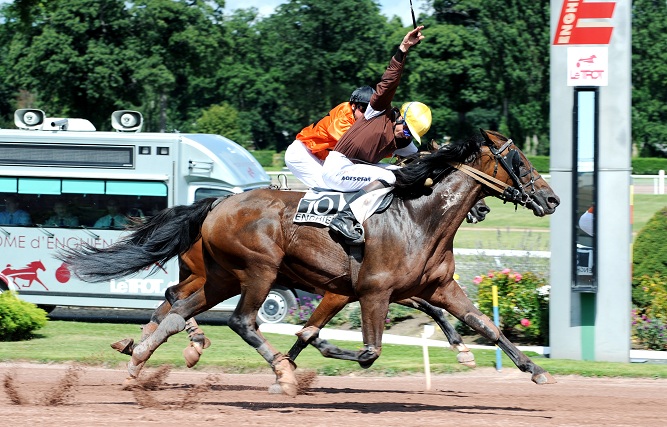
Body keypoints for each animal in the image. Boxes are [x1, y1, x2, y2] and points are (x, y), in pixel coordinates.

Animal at [61, 129, 560, 396]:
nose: (552, 199)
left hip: (221, 276)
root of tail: (219, 202)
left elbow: (486, 326)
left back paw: (142, 355)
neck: (421, 217)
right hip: (258, 270)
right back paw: (276, 369)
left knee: (178, 306)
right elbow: (364, 351)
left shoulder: (435, 287)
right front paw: (302, 361)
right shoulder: (374, 290)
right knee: (241, 321)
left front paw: (535, 370)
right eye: (518, 159)